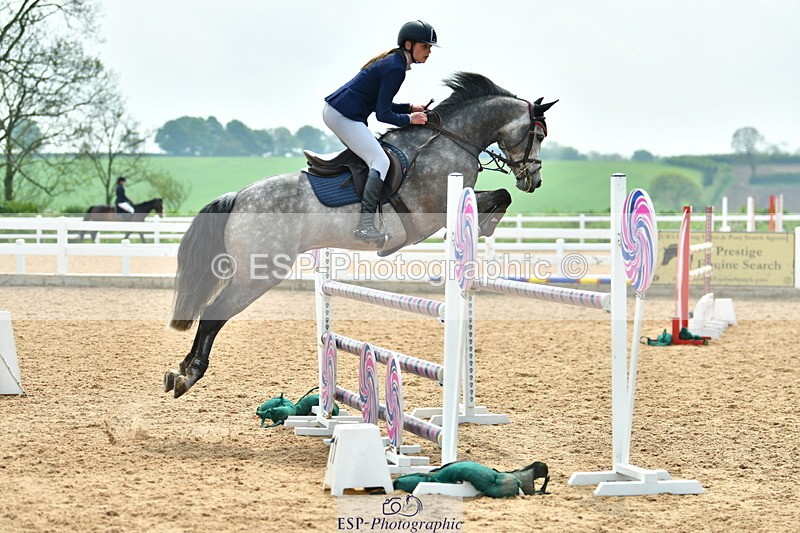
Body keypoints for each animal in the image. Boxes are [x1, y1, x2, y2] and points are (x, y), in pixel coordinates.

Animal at [164, 72, 557, 398]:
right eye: (538, 135)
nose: (534, 180)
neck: (451, 141)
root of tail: (239, 197)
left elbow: (500, 196)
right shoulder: (436, 209)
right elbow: (499, 196)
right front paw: (485, 224)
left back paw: (180, 371)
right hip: (258, 272)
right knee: (213, 314)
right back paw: (188, 375)